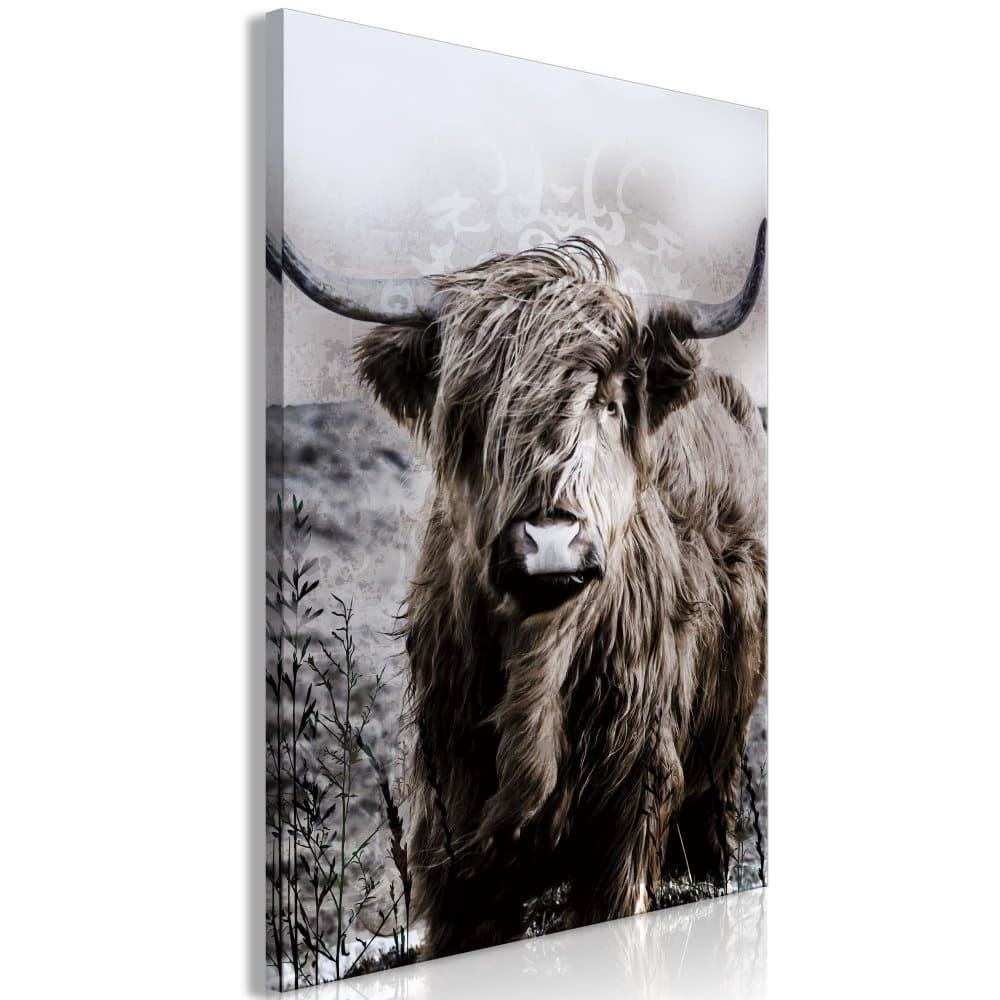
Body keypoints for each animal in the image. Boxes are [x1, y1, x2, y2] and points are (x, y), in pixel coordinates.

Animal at [266, 219, 767, 959]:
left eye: (610, 404)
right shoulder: (449, 826)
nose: (549, 540)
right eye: (474, 414)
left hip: (719, 766)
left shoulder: (632, 808)